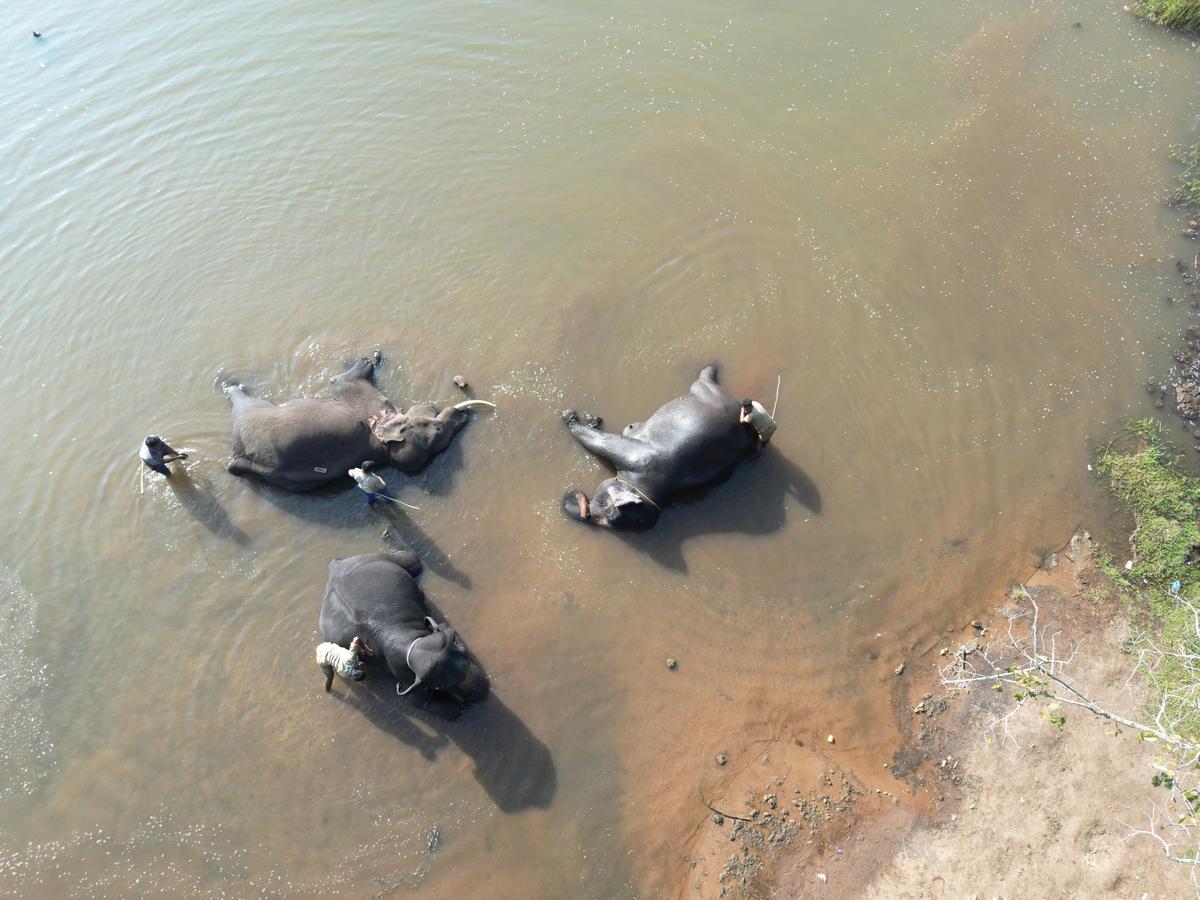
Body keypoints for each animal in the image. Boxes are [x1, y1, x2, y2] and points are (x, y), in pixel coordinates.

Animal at [223, 353, 494, 492]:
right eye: (436, 429)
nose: (463, 414)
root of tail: (238, 458)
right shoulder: (366, 401)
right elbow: (339, 380)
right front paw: (371, 359)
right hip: (255, 415)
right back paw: (228, 384)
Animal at [319, 551, 489, 705]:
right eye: (441, 685)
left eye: (463, 654)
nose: (481, 691)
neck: (410, 639)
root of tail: (334, 566)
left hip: (372, 557)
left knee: (413, 561)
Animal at [561, 365, 757, 531]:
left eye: (604, 516)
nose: (573, 498)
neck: (643, 490)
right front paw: (592, 420)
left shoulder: (634, 456)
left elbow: (598, 441)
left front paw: (569, 417)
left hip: (704, 390)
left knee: (701, 380)